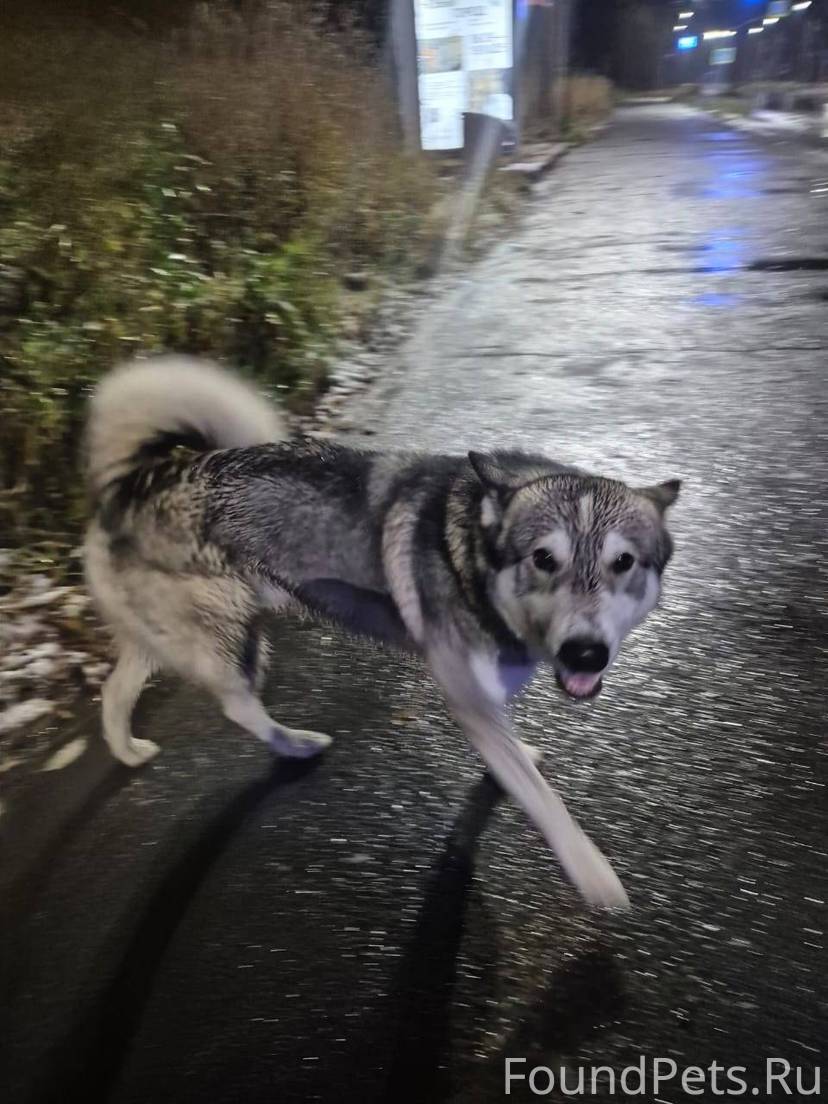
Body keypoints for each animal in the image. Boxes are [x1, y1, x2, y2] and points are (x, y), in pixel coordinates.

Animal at [84, 356, 679, 908]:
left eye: (624, 562)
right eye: (543, 559)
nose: (585, 654)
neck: (471, 551)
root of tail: (128, 486)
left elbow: (510, 752)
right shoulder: (466, 697)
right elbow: (544, 800)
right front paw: (591, 872)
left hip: (175, 637)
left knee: (115, 690)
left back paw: (129, 750)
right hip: (230, 638)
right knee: (236, 705)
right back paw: (295, 745)